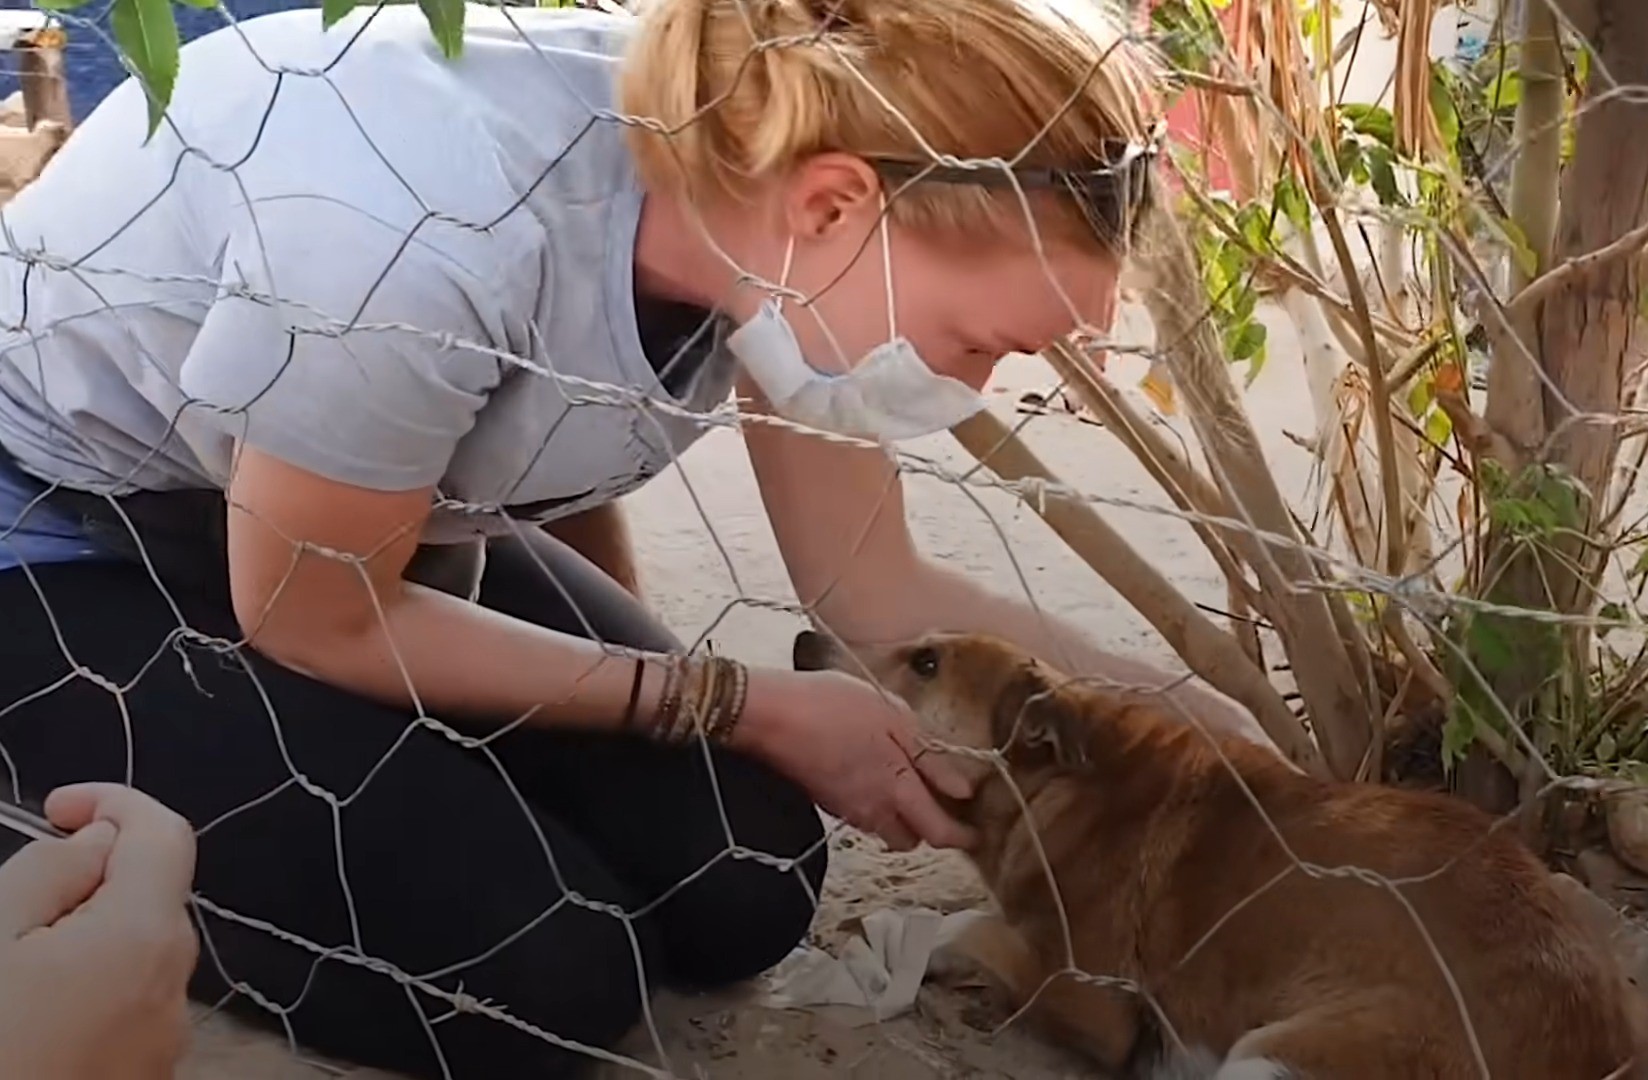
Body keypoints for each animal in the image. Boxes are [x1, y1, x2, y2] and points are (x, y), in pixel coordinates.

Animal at [791, 629, 1641, 1075]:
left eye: (926, 662)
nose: (802, 642)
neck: (1061, 784)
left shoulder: (1089, 998)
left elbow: (962, 927)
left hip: (1277, 1055)